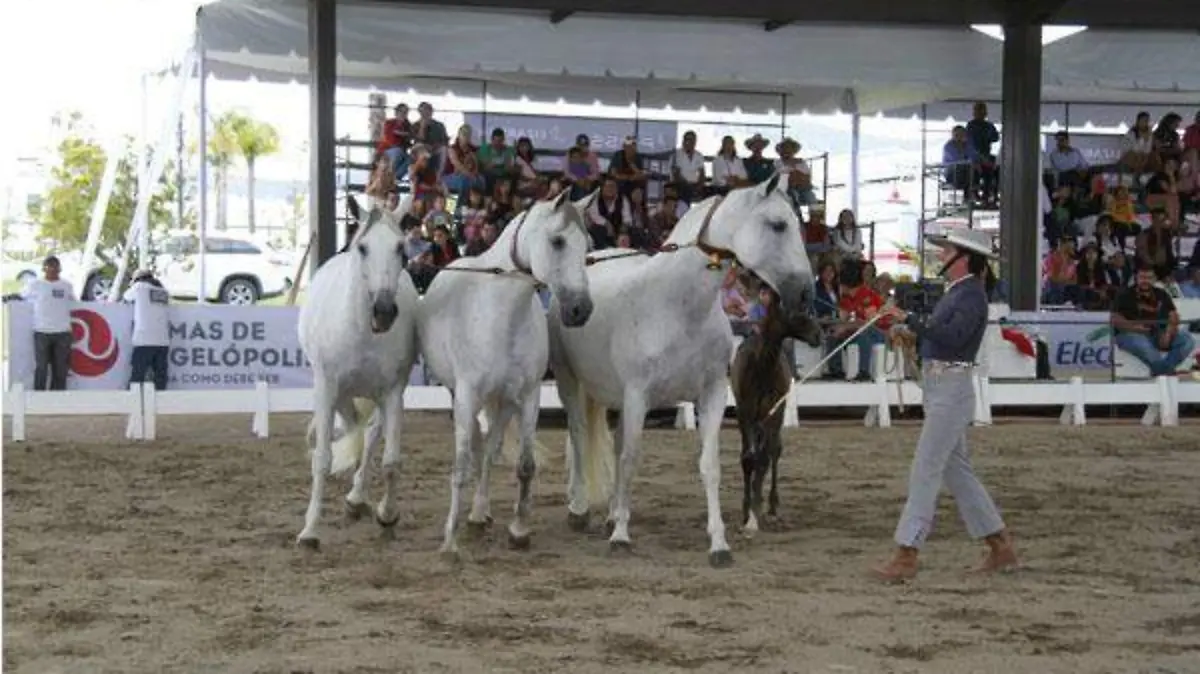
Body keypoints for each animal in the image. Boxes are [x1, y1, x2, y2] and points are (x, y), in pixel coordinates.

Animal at [292, 203, 420, 546]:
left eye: (400, 247)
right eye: (363, 248)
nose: (384, 311)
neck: (363, 332)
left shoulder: (393, 392)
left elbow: (390, 461)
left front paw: (387, 515)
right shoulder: (327, 387)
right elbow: (322, 458)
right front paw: (310, 530)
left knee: (371, 432)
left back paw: (357, 498)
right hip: (339, 392)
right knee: (353, 427)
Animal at [729, 285, 825, 532]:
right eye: (795, 311)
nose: (819, 335)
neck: (762, 365)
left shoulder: (773, 412)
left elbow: (765, 457)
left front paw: (757, 510)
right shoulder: (744, 413)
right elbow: (748, 458)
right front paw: (747, 511)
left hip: (775, 415)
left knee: (772, 452)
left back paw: (771, 506)